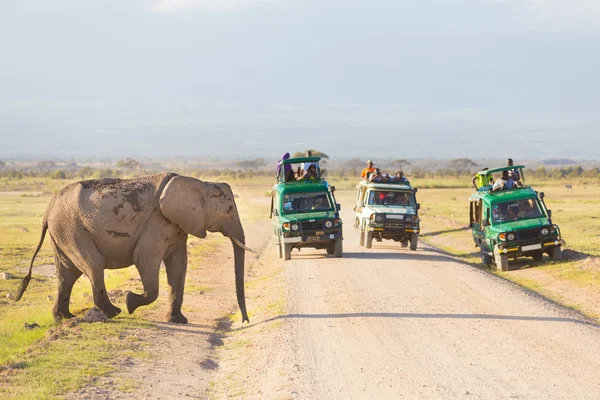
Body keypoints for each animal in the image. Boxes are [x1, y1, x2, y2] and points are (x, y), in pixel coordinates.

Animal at [14, 173, 250, 324]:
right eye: (229, 209)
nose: (245, 321)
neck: (199, 183)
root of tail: (48, 210)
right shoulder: (157, 222)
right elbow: (144, 259)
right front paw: (130, 302)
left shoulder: (177, 225)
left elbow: (178, 265)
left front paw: (178, 321)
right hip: (72, 229)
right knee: (93, 266)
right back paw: (114, 312)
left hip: (62, 231)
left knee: (68, 274)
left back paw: (64, 318)